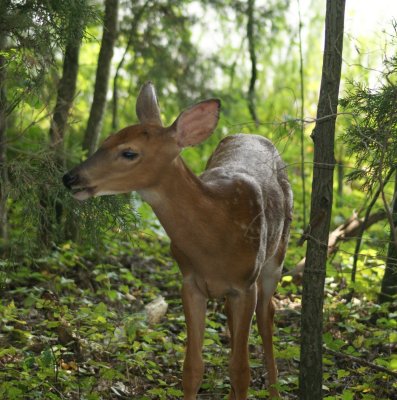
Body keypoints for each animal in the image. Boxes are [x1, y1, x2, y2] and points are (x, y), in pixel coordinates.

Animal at [62, 82, 290, 400]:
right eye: (106, 140)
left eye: (129, 152)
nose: (70, 178)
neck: (216, 237)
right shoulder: (190, 281)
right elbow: (193, 367)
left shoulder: (245, 284)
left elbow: (241, 370)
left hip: (275, 258)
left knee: (267, 314)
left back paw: (274, 390)